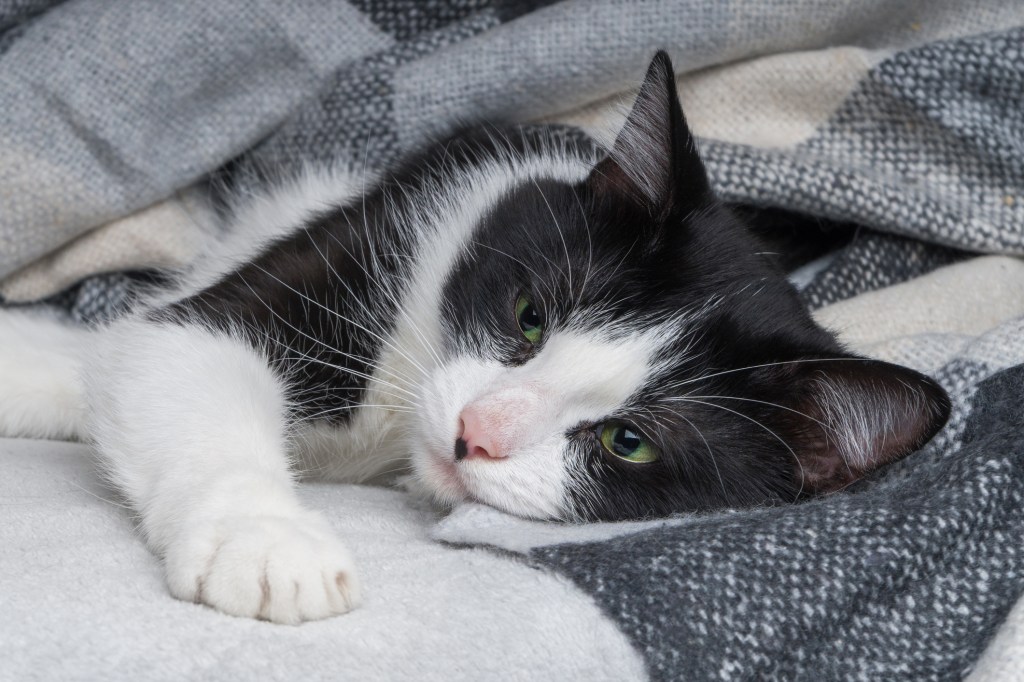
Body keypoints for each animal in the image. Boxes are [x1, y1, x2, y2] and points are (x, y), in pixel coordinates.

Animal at [0, 53, 950, 622]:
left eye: (628, 442)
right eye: (529, 317)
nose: (475, 434)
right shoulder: (385, 230)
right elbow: (177, 341)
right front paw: (264, 541)